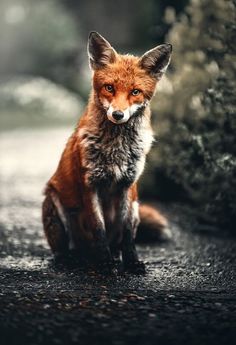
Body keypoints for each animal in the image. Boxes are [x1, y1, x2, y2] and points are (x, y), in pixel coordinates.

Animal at [42, 30, 171, 272]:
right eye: (109, 88)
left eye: (135, 92)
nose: (118, 115)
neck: (116, 148)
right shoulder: (89, 184)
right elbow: (98, 228)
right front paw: (105, 263)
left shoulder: (128, 186)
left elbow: (128, 234)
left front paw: (132, 262)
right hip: (54, 202)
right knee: (66, 249)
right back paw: (72, 258)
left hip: (137, 207)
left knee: (117, 241)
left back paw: (113, 254)